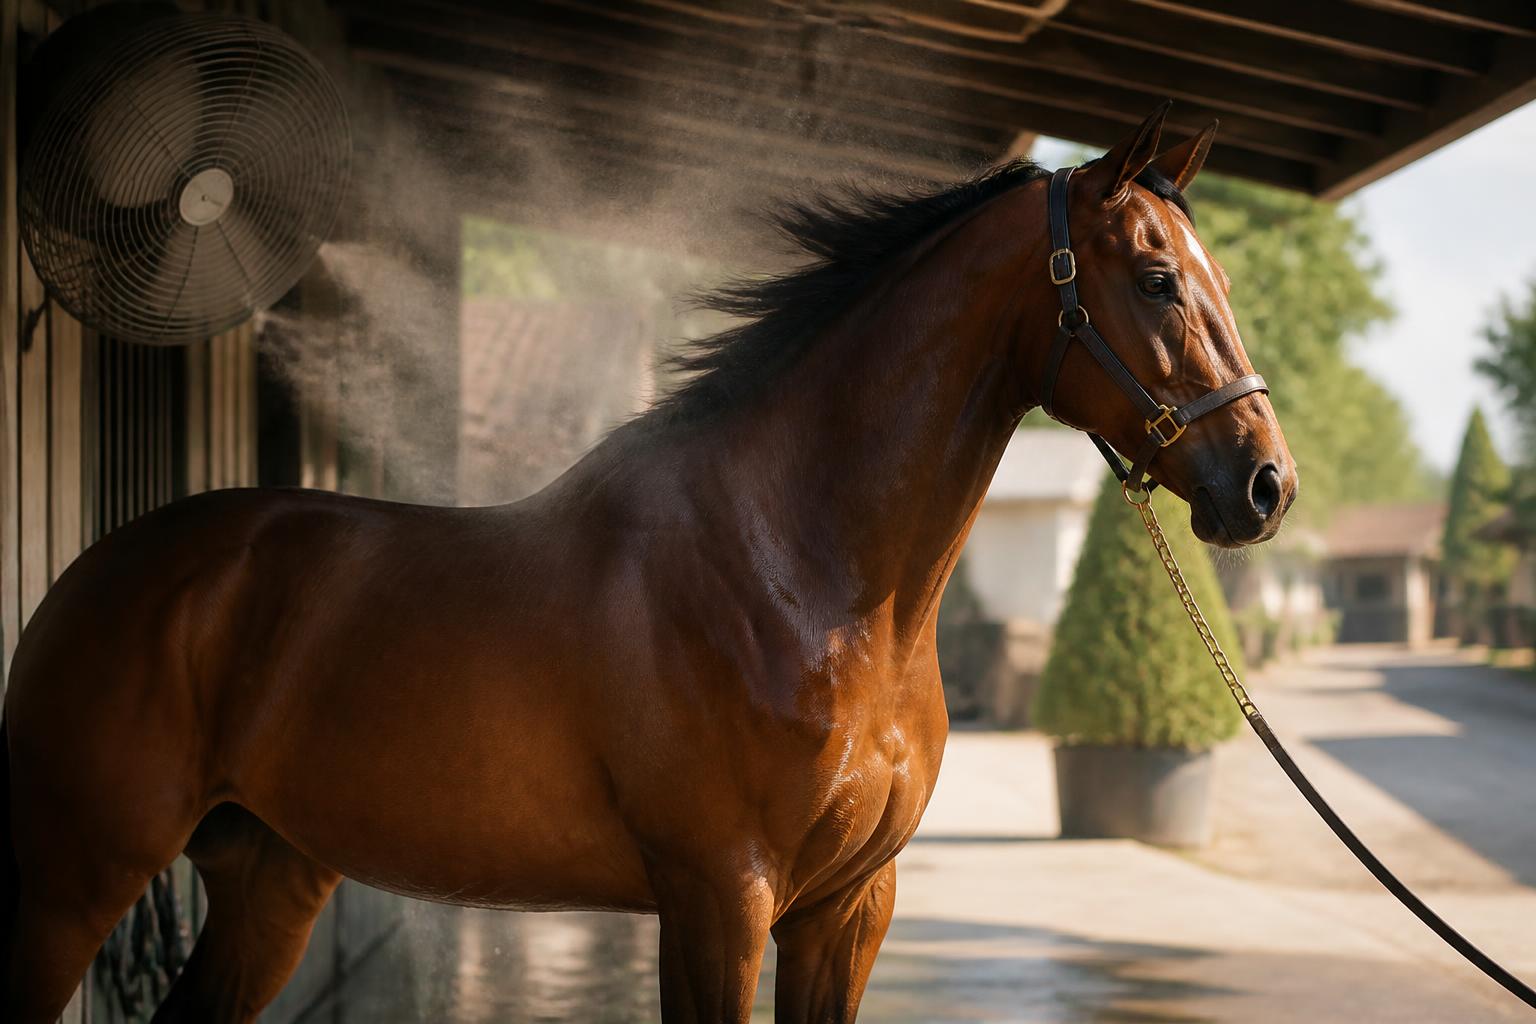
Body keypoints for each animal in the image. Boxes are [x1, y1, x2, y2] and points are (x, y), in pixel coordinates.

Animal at [2, 103, 1295, 1023]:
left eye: (1222, 277)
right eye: (1159, 278)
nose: (1265, 485)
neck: (802, 579)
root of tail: (90, 576)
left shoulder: (845, 909)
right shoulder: (718, 899)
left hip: (267, 880)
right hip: (73, 877)